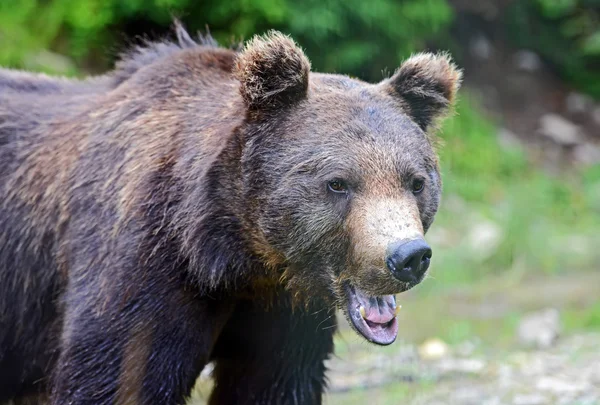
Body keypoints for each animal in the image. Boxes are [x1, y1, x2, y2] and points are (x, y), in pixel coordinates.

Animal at [0, 24, 460, 404]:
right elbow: (115, 378)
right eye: (338, 183)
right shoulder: (139, 270)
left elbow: (272, 386)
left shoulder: (281, 316)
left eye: (415, 181)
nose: (407, 256)